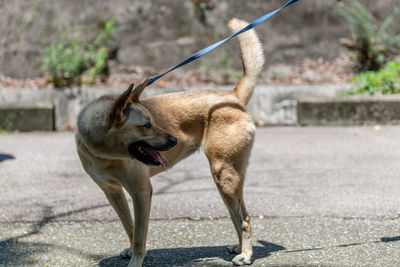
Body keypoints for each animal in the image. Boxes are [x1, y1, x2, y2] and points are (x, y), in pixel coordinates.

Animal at [76, 18, 266, 267]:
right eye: (147, 125)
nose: (175, 139)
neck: (107, 155)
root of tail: (233, 97)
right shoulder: (113, 192)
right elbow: (130, 227)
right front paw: (131, 249)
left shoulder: (141, 192)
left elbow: (139, 235)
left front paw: (136, 260)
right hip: (227, 180)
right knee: (237, 214)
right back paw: (239, 247)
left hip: (224, 175)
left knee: (244, 218)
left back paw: (247, 255)